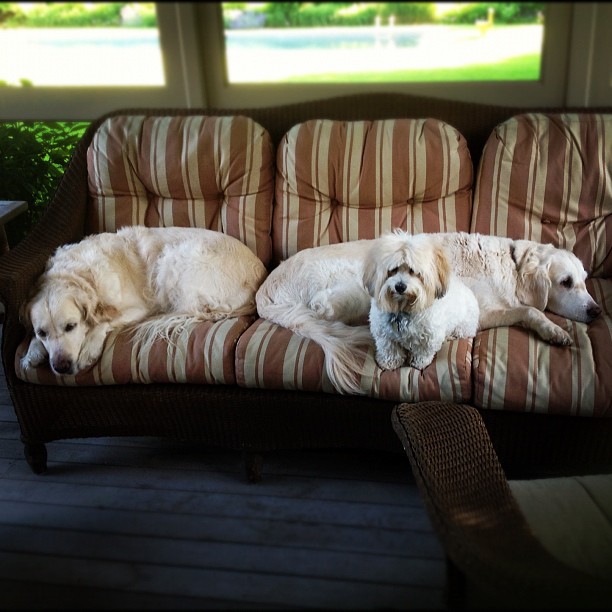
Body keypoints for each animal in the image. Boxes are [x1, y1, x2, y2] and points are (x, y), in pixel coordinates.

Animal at [22, 226, 266, 376]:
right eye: (41, 332)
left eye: (71, 326)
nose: (60, 367)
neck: (78, 273)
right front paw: (32, 353)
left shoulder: (138, 308)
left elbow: (103, 322)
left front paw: (89, 349)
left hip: (173, 260)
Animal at [360, 232, 480, 370]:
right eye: (394, 269)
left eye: (413, 271)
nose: (400, 286)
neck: (403, 308)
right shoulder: (384, 334)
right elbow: (389, 349)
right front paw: (389, 363)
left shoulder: (430, 336)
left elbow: (423, 352)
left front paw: (419, 362)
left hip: (463, 327)